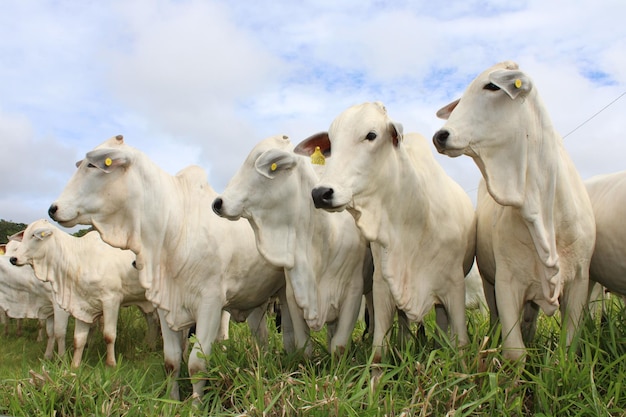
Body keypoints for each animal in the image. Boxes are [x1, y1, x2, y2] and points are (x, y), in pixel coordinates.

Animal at [10, 219, 156, 366]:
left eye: (34, 236)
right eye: (24, 235)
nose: (13, 259)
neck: (79, 259)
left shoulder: (111, 300)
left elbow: (109, 335)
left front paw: (111, 364)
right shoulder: (82, 305)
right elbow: (78, 339)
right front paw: (75, 365)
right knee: (152, 321)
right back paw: (150, 345)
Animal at [47, 135, 290, 402]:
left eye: (93, 165)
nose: (53, 208)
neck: (174, 226)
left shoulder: (210, 304)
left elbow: (196, 364)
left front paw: (195, 404)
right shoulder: (165, 305)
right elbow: (172, 361)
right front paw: (172, 401)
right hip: (257, 301)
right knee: (262, 338)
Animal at [213, 134, 370, 354]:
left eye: (265, 163)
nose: (218, 203)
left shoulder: (353, 294)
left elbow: (338, 345)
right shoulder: (292, 295)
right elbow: (303, 345)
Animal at [296, 101, 472, 360]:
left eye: (371, 135)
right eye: (331, 144)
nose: (321, 193)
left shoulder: (455, 287)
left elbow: (460, 344)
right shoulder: (382, 286)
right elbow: (379, 348)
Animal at [432, 59, 592, 360]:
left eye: (492, 86)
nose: (441, 135)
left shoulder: (579, 280)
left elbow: (567, 347)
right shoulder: (506, 283)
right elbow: (516, 352)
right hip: (489, 283)